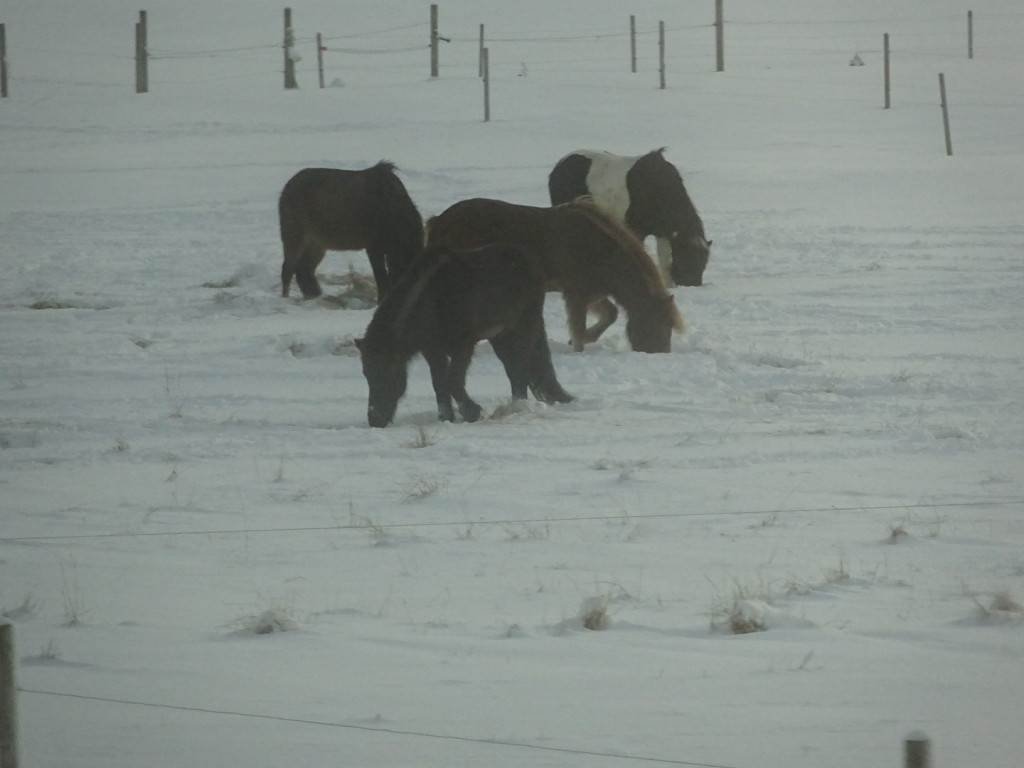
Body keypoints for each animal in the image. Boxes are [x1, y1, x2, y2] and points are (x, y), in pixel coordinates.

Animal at [278, 161, 421, 301]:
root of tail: (286, 187)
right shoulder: (373, 246)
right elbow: (381, 277)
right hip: (294, 234)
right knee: (288, 269)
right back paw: (287, 297)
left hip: (317, 242)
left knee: (304, 268)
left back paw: (313, 294)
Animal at [356, 243, 573, 430]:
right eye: (366, 373)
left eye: (388, 371)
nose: (375, 419)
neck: (431, 299)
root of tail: (529, 261)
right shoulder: (432, 351)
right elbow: (439, 383)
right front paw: (446, 418)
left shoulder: (464, 346)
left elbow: (453, 381)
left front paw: (472, 412)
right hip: (500, 337)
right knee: (515, 369)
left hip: (523, 328)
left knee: (519, 369)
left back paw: (517, 408)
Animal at [428, 198, 684, 354]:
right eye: (661, 324)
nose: (660, 353)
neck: (600, 249)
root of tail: (439, 220)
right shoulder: (577, 293)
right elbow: (579, 328)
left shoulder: (592, 292)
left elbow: (609, 315)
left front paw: (586, 338)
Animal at [548, 148, 708, 286]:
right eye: (686, 260)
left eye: (703, 264)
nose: (693, 285)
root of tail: (559, 165)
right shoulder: (636, 229)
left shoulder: (662, 233)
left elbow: (664, 260)